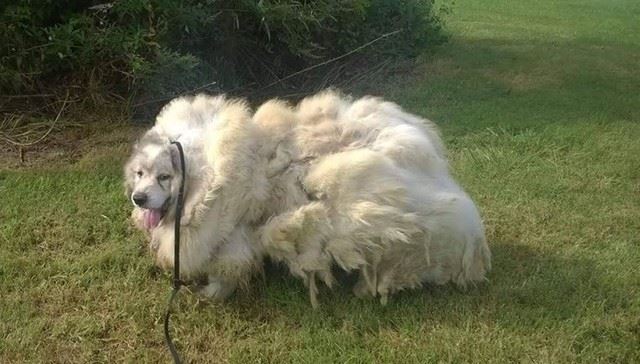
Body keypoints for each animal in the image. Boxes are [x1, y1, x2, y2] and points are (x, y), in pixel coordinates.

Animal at [126, 89, 496, 306]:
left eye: (164, 176)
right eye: (139, 173)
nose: (138, 199)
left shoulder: (233, 238)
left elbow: (227, 269)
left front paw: (213, 295)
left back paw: (369, 288)